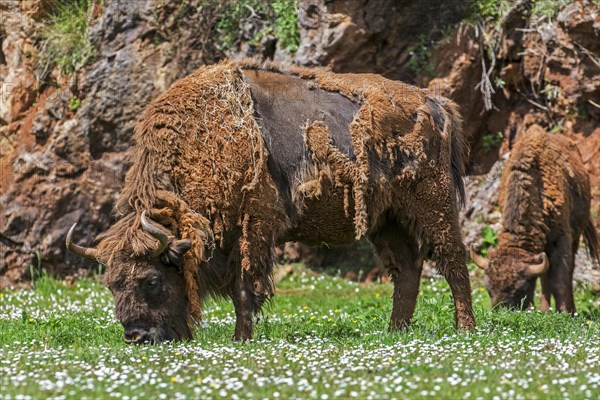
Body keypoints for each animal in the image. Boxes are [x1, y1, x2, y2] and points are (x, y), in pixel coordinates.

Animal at [67, 59, 478, 344]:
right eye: (111, 284)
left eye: (151, 280)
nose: (137, 336)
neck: (203, 140)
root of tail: (435, 102)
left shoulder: (254, 227)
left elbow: (245, 286)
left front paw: (241, 338)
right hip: (385, 220)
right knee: (406, 271)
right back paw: (395, 332)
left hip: (432, 204)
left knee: (453, 261)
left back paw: (465, 329)